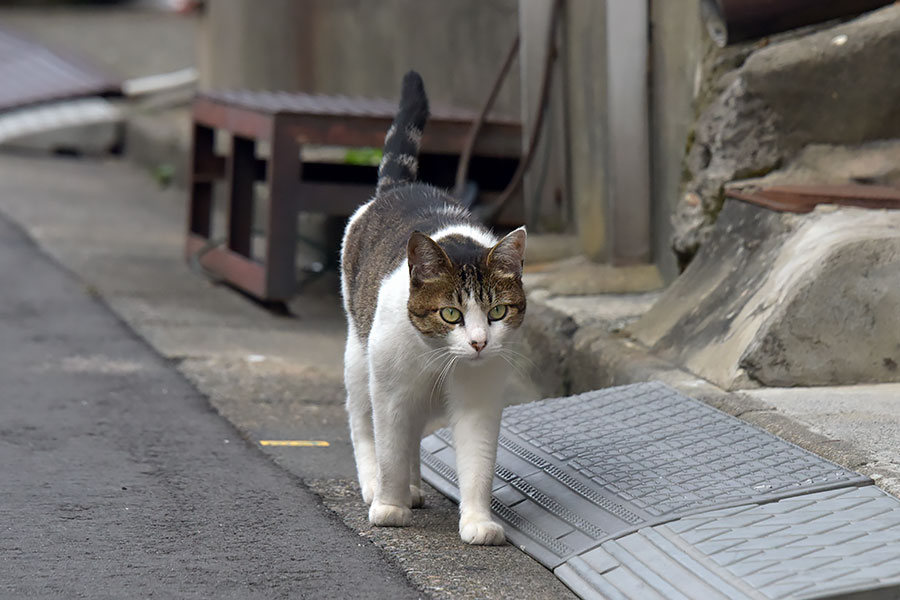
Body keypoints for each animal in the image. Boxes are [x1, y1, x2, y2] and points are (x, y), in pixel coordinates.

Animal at [340, 72, 528, 548]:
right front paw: (389, 506)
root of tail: (402, 186)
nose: (479, 343)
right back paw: (377, 486)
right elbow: (388, 446)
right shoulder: (390, 392)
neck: (440, 360)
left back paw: (413, 486)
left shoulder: (480, 399)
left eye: (497, 312)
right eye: (451, 315)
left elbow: (478, 463)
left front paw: (477, 521)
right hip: (359, 358)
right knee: (363, 423)